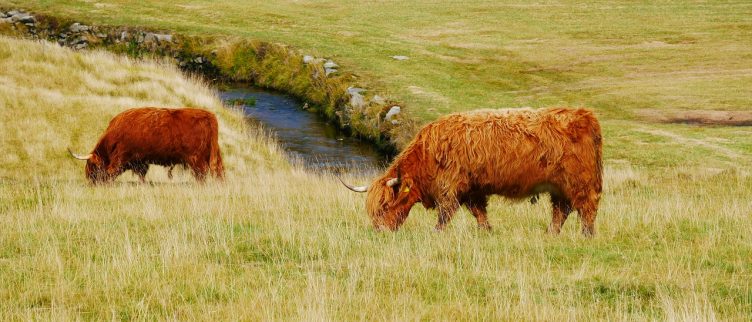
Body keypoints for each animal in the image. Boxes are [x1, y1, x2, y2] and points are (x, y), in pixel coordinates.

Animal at [68, 107, 223, 184]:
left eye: (92, 165)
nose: (90, 181)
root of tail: (209, 116)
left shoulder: (124, 156)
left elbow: (115, 170)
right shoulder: (141, 160)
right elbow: (142, 174)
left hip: (196, 158)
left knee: (201, 174)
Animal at [340, 107, 604, 235]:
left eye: (385, 206)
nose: (380, 231)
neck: (426, 155)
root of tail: (584, 115)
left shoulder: (450, 187)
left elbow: (445, 214)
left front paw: (436, 233)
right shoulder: (472, 189)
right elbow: (479, 212)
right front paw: (487, 231)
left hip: (580, 182)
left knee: (586, 207)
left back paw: (587, 234)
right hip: (559, 186)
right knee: (561, 209)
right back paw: (551, 233)